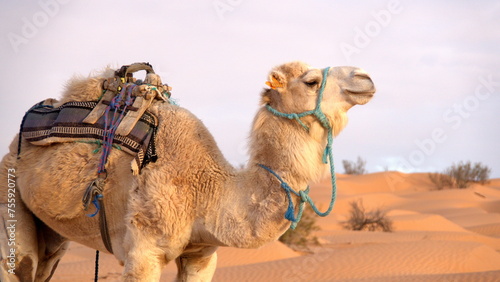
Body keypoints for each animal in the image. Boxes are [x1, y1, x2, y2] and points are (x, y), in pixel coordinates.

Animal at [0, 60, 376, 280]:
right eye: (311, 81)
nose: (366, 77)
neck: (208, 191)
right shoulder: (144, 252)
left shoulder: (202, 255)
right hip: (10, 197)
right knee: (20, 262)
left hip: (54, 234)